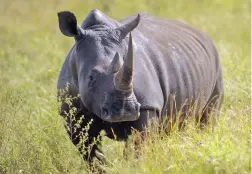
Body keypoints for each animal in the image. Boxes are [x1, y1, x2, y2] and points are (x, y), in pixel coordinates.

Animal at [56, 9, 223, 164]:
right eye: (90, 78)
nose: (125, 112)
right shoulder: (71, 114)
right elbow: (91, 152)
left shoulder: (147, 106)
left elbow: (137, 147)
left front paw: (133, 166)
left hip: (215, 61)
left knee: (208, 115)